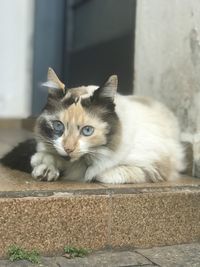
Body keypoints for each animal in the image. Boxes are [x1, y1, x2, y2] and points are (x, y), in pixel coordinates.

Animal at [0, 68, 185, 184]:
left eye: (87, 131)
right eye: (58, 126)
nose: (68, 149)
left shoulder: (155, 167)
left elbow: (104, 173)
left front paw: (90, 175)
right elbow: (44, 157)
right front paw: (46, 170)